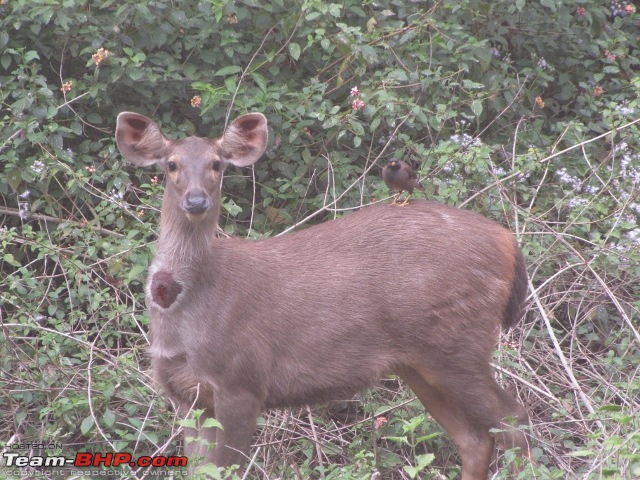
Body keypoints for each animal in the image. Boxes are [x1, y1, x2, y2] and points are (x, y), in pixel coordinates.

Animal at [115, 111, 528, 480]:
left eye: (217, 163)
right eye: (171, 164)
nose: (197, 201)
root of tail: (508, 240)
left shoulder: (242, 379)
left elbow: (227, 468)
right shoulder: (187, 396)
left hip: (458, 342)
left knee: (514, 420)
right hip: (421, 362)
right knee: (475, 438)